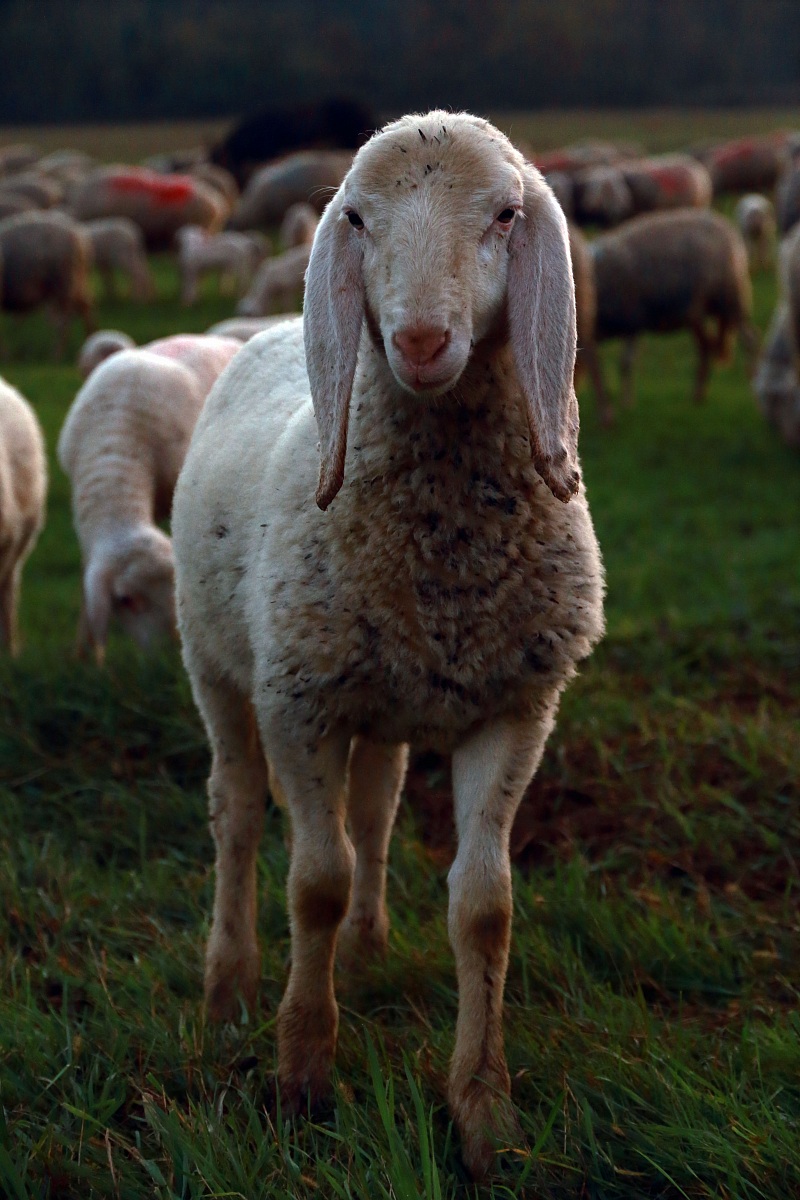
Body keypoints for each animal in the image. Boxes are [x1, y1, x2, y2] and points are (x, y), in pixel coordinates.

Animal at [0, 210, 95, 358]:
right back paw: (89, 339)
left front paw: (5, 354)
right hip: (75, 283)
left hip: (63, 284)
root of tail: (78, 237)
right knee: (86, 307)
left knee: (64, 322)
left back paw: (56, 353)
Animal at [172, 110, 605, 1180]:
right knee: (236, 815)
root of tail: (267, 328)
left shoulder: (515, 705)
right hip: (218, 668)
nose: (417, 340)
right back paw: (228, 982)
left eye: (505, 215)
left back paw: (366, 949)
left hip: (383, 701)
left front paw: (484, 1111)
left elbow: (484, 906)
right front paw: (300, 1075)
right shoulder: (297, 701)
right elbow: (312, 883)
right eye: (358, 220)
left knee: (373, 814)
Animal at [591, 209, 758, 410]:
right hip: (704, 311)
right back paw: (698, 395)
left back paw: (753, 390)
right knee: (706, 348)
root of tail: (731, 234)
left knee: (749, 342)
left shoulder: (632, 320)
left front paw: (626, 403)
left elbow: (625, 363)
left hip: (730, 301)